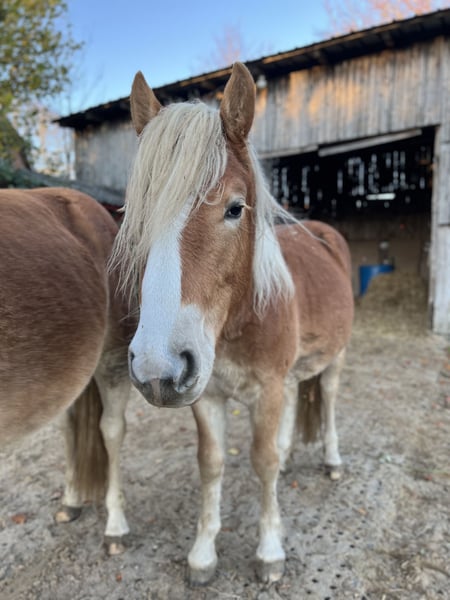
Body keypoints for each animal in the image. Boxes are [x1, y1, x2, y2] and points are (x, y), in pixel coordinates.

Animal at [112, 62, 354, 584]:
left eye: (235, 208)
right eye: (136, 218)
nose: (156, 368)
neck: (241, 320)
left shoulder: (267, 390)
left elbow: (262, 462)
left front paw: (270, 551)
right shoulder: (209, 396)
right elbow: (213, 464)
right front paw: (203, 554)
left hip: (336, 358)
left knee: (326, 399)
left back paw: (332, 460)